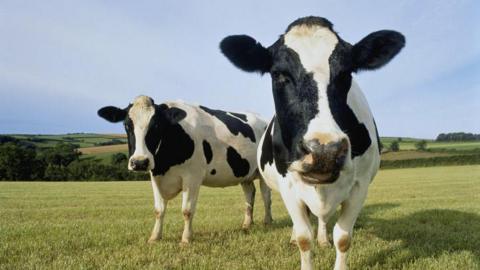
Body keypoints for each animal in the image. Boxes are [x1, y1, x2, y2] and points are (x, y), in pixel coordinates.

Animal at [96, 96, 274, 244]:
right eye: (127, 125)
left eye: (156, 125)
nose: (139, 162)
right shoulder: (155, 176)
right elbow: (158, 210)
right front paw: (154, 237)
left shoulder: (193, 177)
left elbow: (187, 210)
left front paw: (186, 239)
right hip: (245, 173)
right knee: (249, 195)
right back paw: (247, 224)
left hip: (263, 172)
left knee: (266, 196)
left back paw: (267, 222)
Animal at [221, 16, 404, 270]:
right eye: (279, 74)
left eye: (346, 74)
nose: (324, 151)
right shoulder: (288, 184)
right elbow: (304, 238)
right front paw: (300, 242)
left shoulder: (360, 185)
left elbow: (343, 238)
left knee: (322, 218)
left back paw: (323, 238)